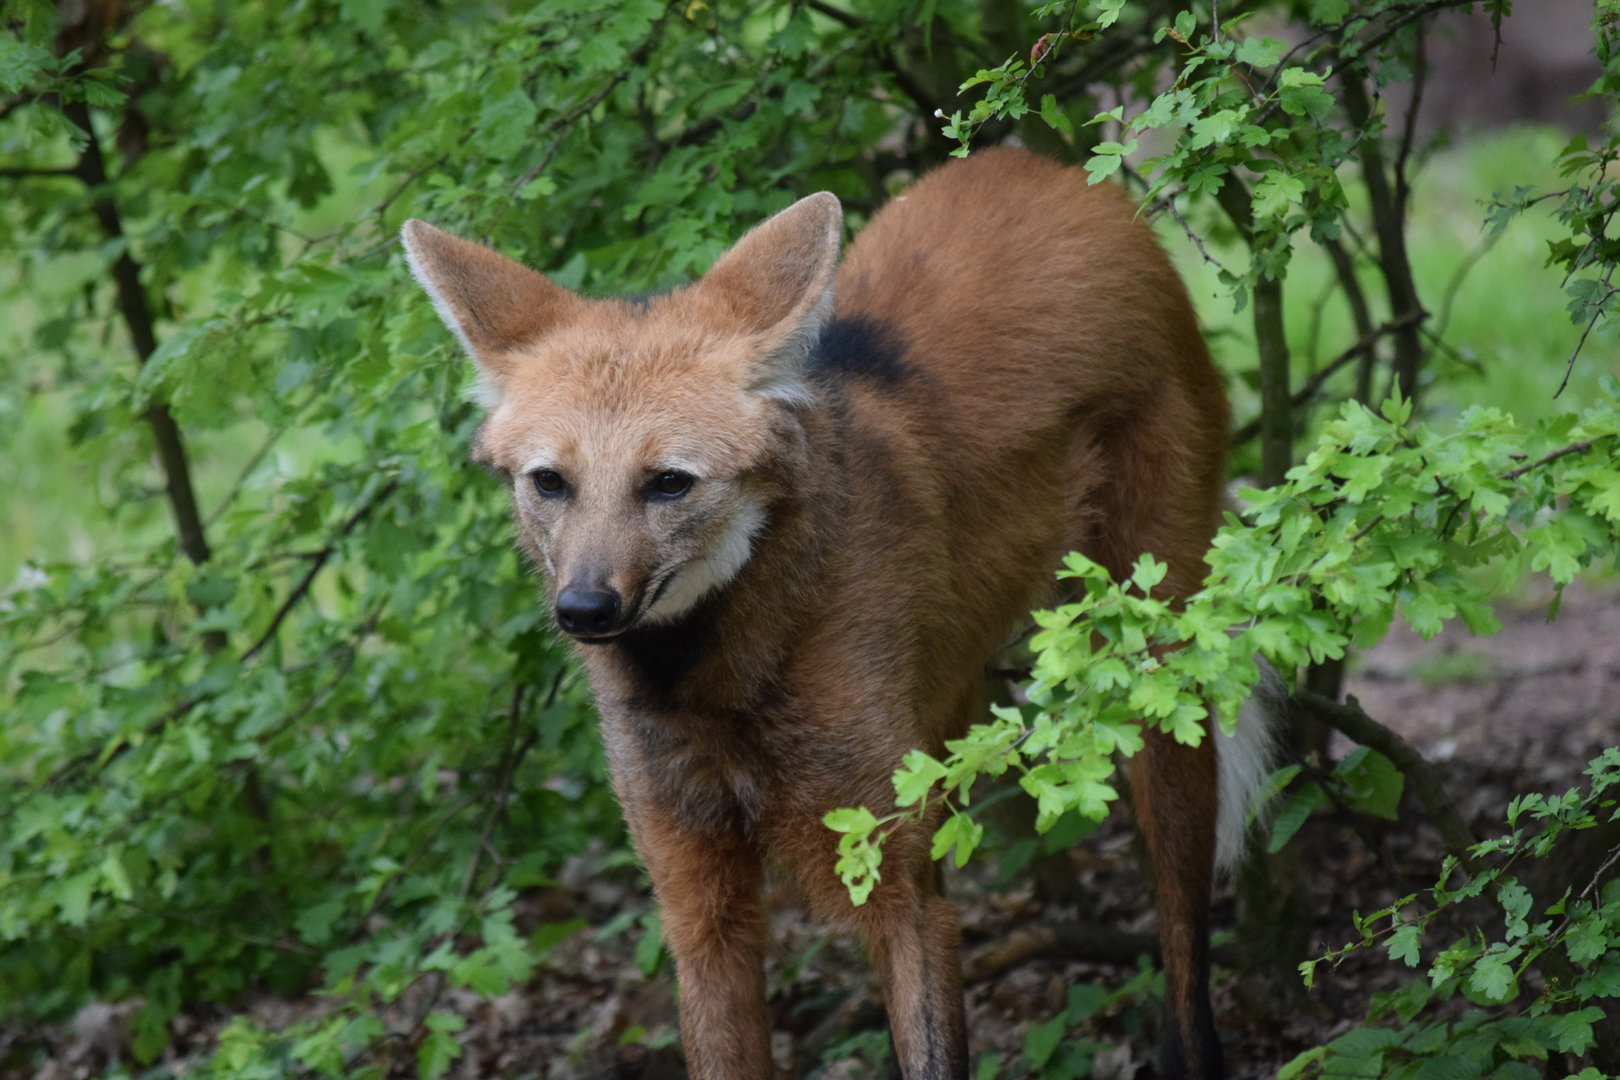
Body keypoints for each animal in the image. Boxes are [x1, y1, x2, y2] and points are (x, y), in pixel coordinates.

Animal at [402, 146, 1270, 1079]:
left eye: (668, 482)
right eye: (550, 483)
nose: (586, 608)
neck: (721, 675)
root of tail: (1039, 165)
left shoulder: (891, 882)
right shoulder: (697, 897)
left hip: (1155, 678)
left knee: (1182, 912)